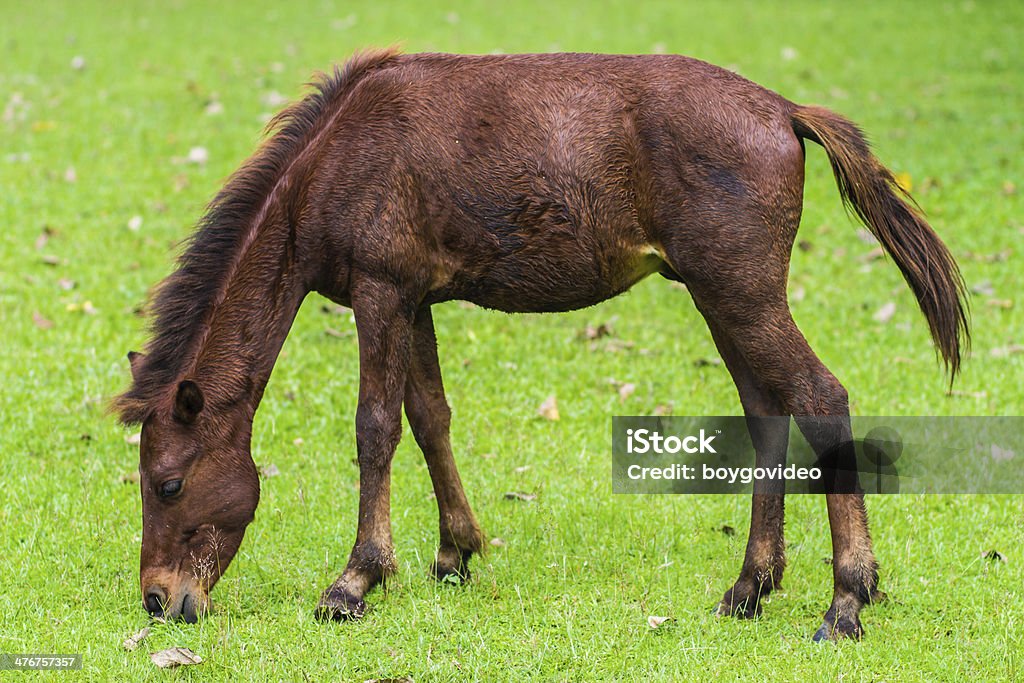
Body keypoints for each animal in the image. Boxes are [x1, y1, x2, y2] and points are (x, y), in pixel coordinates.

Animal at [114, 49, 966, 643]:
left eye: (166, 482)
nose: (159, 599)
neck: (331, 163)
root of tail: (786, 111)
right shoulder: (414, 299)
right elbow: (429, 418)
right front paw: (454, 551)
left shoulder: (381, 291)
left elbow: (375, 429)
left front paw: (355, 581)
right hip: (721, 296)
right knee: (766, 409)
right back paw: (749, 586)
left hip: (740, 291)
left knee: (820, 396)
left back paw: (847, 598)